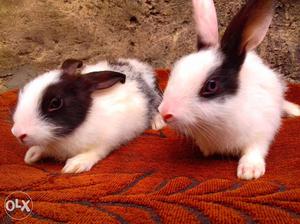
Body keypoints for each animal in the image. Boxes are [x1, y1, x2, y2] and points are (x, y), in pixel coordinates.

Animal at [11, 57, 164, 173]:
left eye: (55, 103)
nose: (18, 133)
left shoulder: (108, 139)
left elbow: (97, 151)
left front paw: (75, 165)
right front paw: (32, 155)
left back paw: (158, 124)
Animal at [158, 0, 298, 179]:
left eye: (211, 85)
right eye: (175, 69)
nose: (164, 113)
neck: (219, 120)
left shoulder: (262, 131)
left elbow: (255, 150)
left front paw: (249, 172)